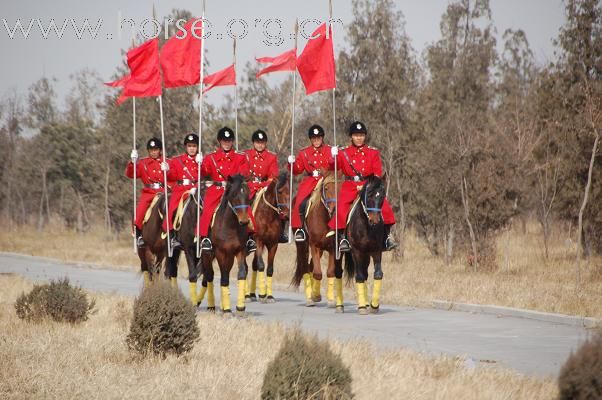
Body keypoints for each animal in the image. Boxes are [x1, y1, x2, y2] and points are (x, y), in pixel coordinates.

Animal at [196, 175, 250, 316]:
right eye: (234, 195)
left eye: (248, 194)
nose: (244, 221)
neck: (231, 226)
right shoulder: (221, 252)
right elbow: (224, 277)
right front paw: (227, 309)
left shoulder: (240, 251)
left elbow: (241, 273)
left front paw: (240, 307)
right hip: (207, 254)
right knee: (209, 275)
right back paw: (210, 305)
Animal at [245, 172, 290, 304]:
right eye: (279, 191)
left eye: (289, 191)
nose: (286, 215)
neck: (268, 215)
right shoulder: (259, 241)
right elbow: (261, 265)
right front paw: (262, 294)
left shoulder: (273, 244)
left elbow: (269, 268)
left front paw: (269, 296)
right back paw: (247, 295)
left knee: (253, 265)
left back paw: (252, 294)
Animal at [290, 170, 342, 310]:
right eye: (326, 188)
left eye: (340, 189)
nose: (334, 209)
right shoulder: (314, 245)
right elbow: (318, 273)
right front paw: (315, 296)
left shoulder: (332, 248)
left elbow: (329, 272)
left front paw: (330, 300)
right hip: (302, 245)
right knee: (305, 267)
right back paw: (309, 299)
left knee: (310, 266)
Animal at [340, 175, 386, 316]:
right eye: (369, 195)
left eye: (382, 196)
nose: (375, 220)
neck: (366, 226)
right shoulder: (356, 251)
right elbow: (359, 276)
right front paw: (361, 307)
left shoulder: (376, 250)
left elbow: (378, 274)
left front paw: (374, 306)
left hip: (366, 255)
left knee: (365, 273)